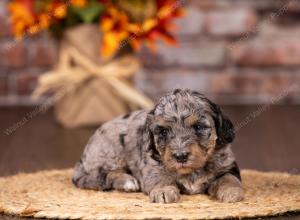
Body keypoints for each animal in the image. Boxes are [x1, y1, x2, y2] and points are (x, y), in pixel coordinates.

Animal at [72, 89, 244, 203]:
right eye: (163, 131)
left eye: (199, 127)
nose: (180, 156)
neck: (191, 171)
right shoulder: (151, 166)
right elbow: (159, 177)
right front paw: (164, 191)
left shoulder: (228, 166)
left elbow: (229, 178)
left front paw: (232, 191)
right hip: (109, 154)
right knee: (100, 175)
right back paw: (127, 181)